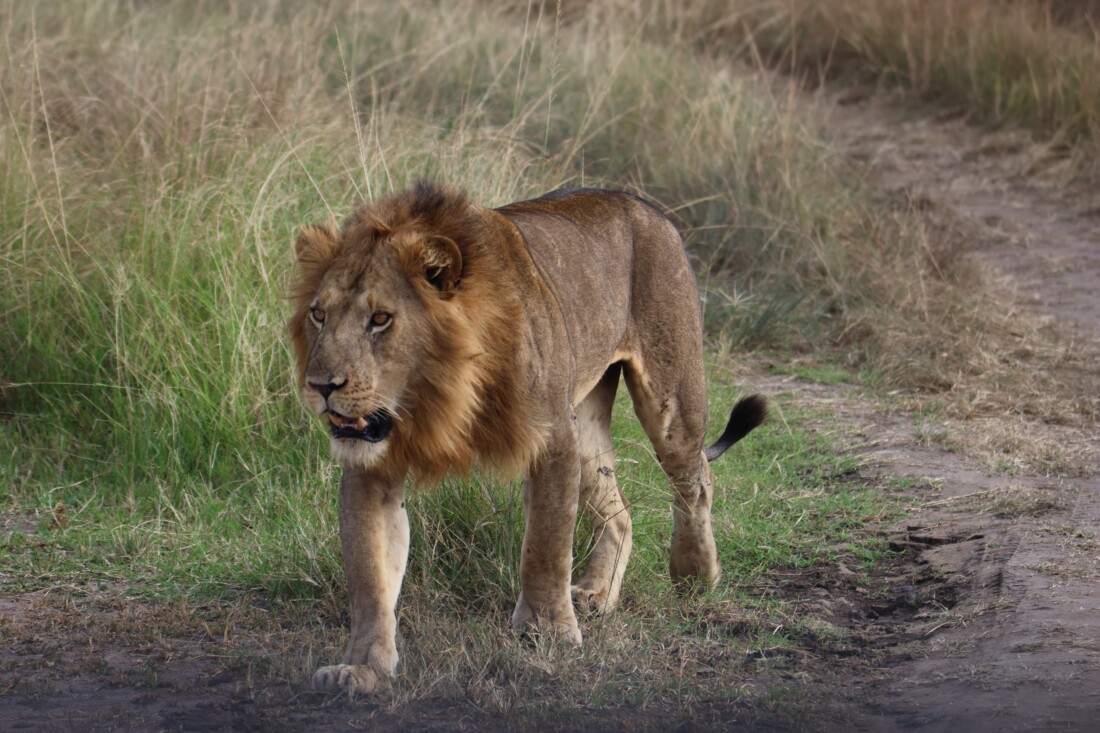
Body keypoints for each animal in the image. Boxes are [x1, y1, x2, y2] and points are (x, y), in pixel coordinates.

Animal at [288, 181, 765, 691]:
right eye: (318, 314)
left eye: (380, 318)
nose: (321, 386)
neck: (440, 394)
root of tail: (640, 201)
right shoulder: (373, 465)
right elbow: (369, 572)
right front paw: (362, 667)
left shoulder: (552, 438)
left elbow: (546, 545)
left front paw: (547, 629)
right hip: (585, 422)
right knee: (618, 510)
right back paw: (597, 593)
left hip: (669, 396)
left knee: (696, 479)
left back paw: (696, 575)